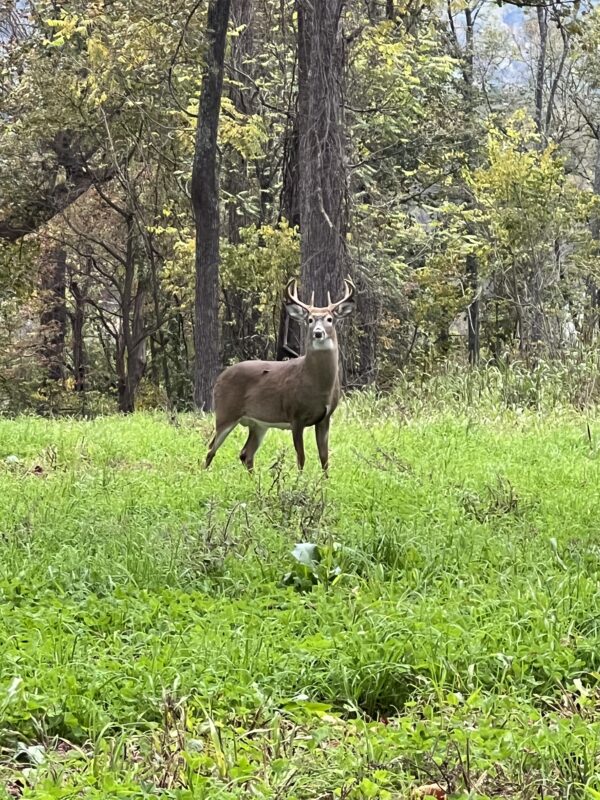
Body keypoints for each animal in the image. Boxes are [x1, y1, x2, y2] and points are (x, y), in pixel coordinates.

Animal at [206, 278, 356, 472]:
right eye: (309, 319)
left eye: (330, 319)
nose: (318, 332)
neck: (318, 385)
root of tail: (219, 379)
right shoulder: (295, 415)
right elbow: (301, 457)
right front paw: (300, 479)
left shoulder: (325, 417)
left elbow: (324, 458)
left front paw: (325, 480)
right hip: (225, 412)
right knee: (210, 449)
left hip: (259, 424)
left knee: (246, 454)